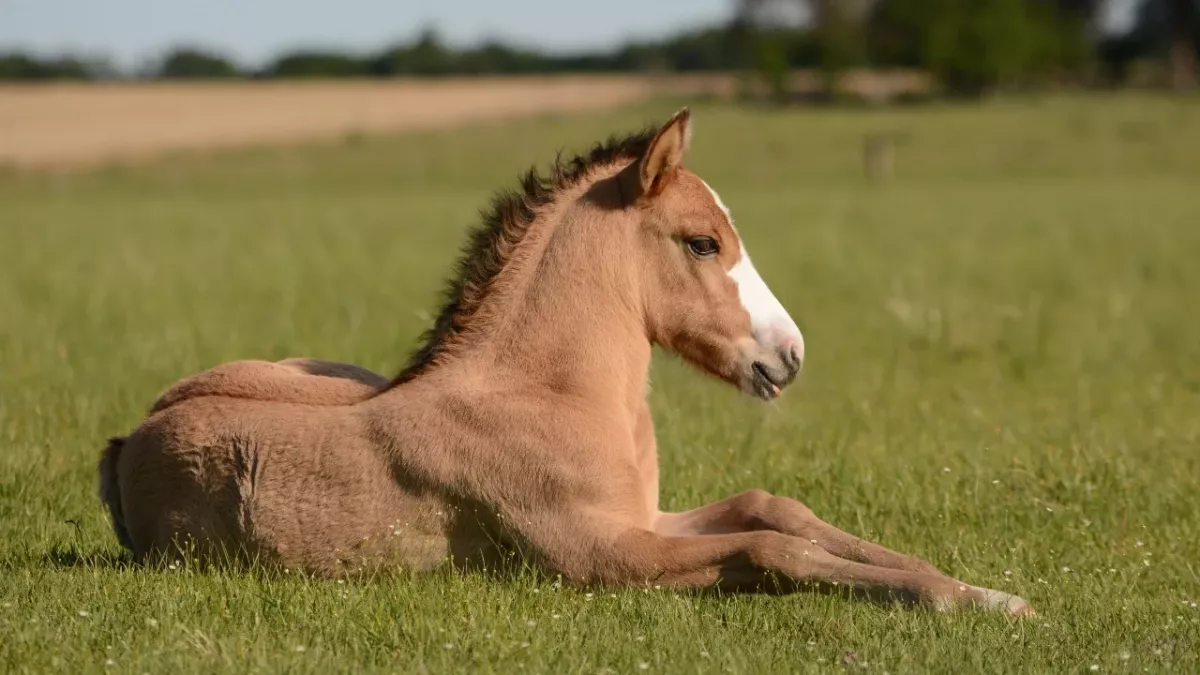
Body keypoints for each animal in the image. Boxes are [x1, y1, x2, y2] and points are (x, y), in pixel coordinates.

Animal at [98, 108, 1033, 615]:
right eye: (702, 241)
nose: (789, 354)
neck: (549, 395)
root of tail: (127, 438)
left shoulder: (645, 518)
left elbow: (777, 509)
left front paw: (981, 588)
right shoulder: (601, 555)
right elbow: (775, 549)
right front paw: (966, 600)